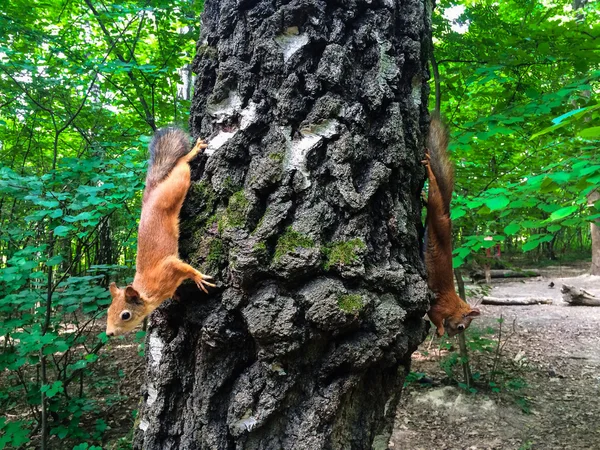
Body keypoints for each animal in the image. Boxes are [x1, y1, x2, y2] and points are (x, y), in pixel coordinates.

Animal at [107, 128, 216, 336]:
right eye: (108, 310)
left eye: (125, 315)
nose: (109, 333)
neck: (149, 293)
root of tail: (151, 192)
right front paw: (176, 295)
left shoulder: (169, 267)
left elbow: (185, 267)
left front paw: (199, 278)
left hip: (177, 185)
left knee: (181, 165)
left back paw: (192, 152)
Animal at [424, 114, 480, 336]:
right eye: (462, 326)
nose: (451, 335)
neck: (455, 304)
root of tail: (448, 217)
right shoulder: (440, 306)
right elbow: (434, 316)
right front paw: (439, 330)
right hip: (438, 215)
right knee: (435, 194)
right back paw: (429, 171)